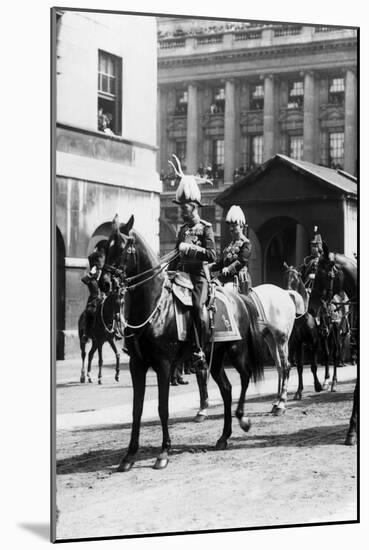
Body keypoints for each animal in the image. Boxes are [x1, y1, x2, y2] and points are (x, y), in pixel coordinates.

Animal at [105, 216, 268, 470]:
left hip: (236, 351)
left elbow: (162, 408)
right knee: (227, 389)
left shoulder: (163, 365)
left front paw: (163, 453)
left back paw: (243, 419)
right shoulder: (137, 365)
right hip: (215, 358)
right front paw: (129, 456)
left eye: (122, 248)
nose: (103, 282)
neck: (154, 307)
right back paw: (223, 437)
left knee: (245, 377)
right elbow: (136, 409)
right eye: (105, 247)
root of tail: (239, 298)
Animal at [282, 264, 322, 402]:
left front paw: (318, 385)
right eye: (285, 276)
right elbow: (299, 367)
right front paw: (299, 391)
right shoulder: (298, 343)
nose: (288, 292)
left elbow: (314, 366)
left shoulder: (314, 342)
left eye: (296, 277)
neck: (303, 316)